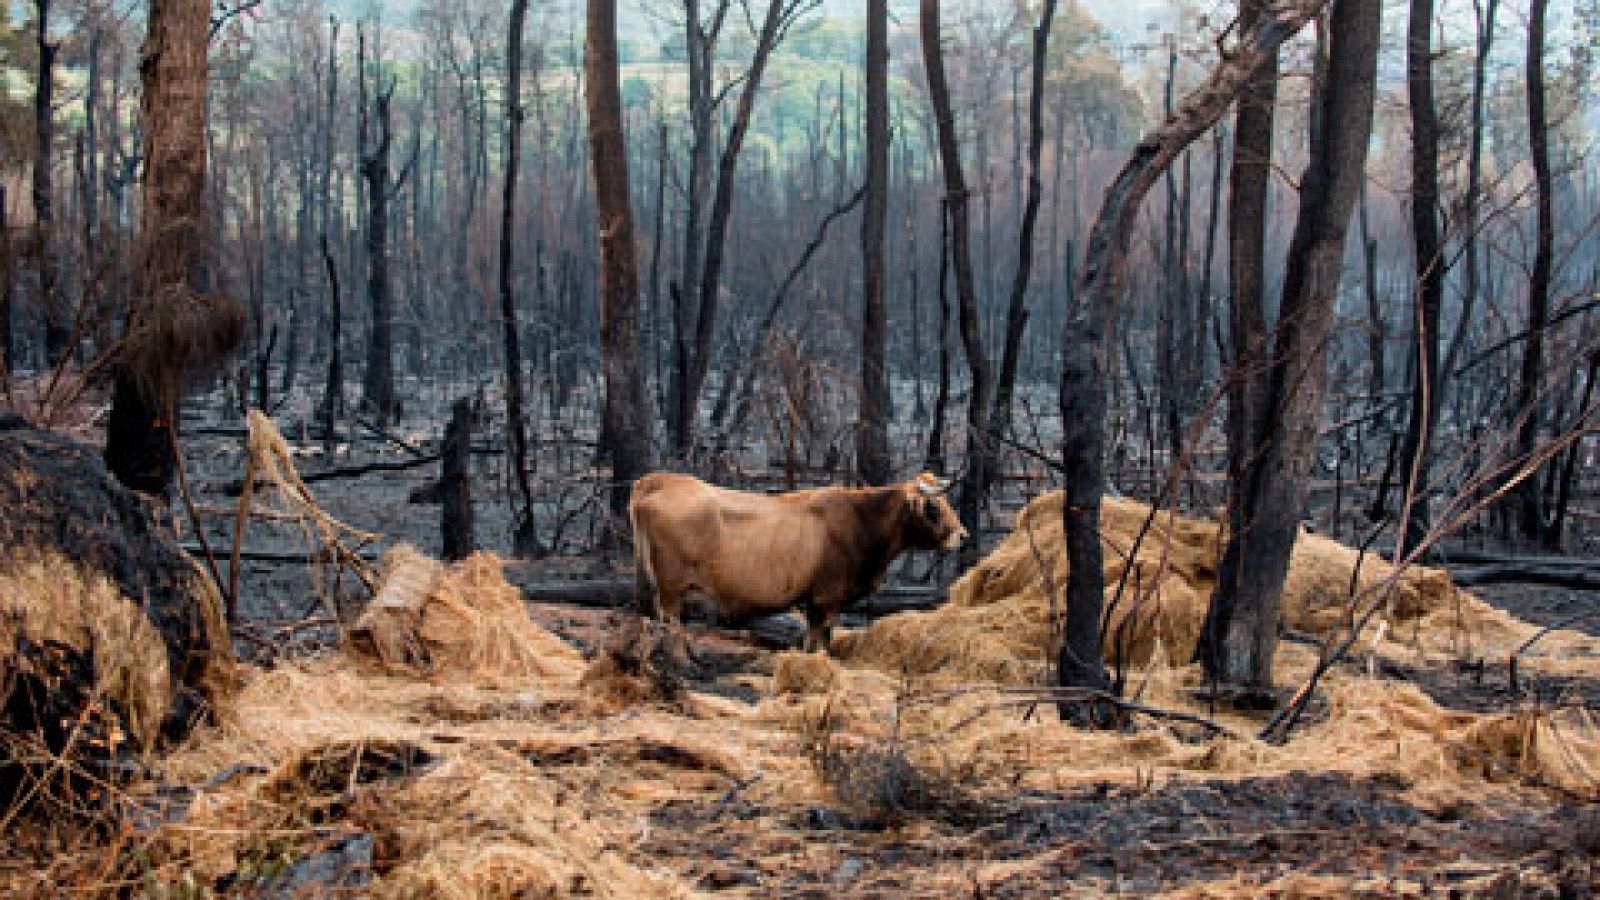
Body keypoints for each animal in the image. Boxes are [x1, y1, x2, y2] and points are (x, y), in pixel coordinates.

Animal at [630, 470, 966, 650]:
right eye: (933, 506)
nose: (963, 535)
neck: (859, 520)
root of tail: (661, 480)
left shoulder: (814, 603)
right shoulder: (826, 600)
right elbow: (820, 643)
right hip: (671, 590)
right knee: (670, 626)